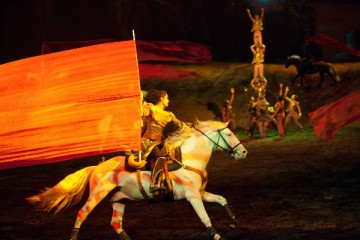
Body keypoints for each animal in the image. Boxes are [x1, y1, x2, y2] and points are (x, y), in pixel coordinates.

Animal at [27, 120, 248, 240]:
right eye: (229, 134)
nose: (244, 152)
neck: (188, 159)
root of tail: (98, 167)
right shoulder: (192, 196)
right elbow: (204, 217)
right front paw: (217, 234)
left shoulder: (200, 193)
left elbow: (221, 199)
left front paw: (233, 221)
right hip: (97, 194)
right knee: (82, 214)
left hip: (119, 199)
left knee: (115, 223)